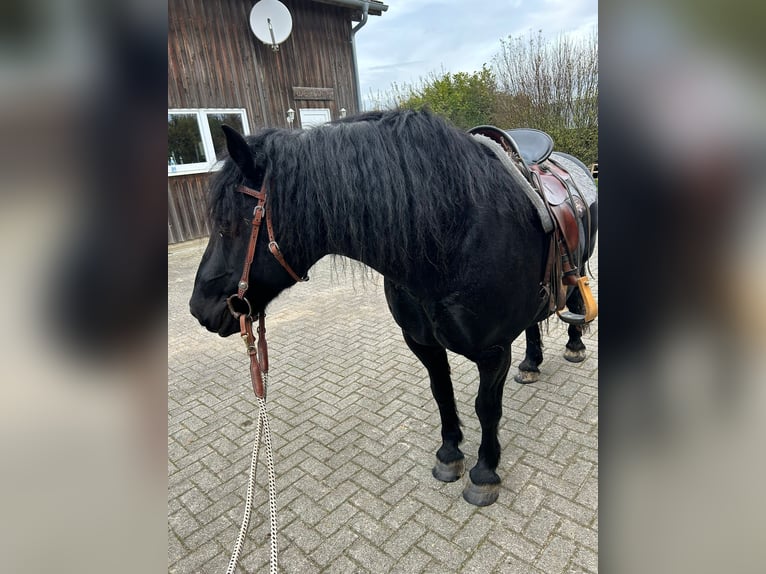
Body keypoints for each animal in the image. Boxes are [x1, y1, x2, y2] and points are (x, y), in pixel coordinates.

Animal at [189, 110, 596, 506]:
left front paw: (484, 472)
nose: (198, 309)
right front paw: (449, 455)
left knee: (574, 300)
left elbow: (486, 407)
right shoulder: (422, 343)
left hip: (576, 265)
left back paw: (574, 346)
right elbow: (441, 393)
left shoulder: (493, 351)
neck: (453, 236)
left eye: (228, 225)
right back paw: (531, 364)